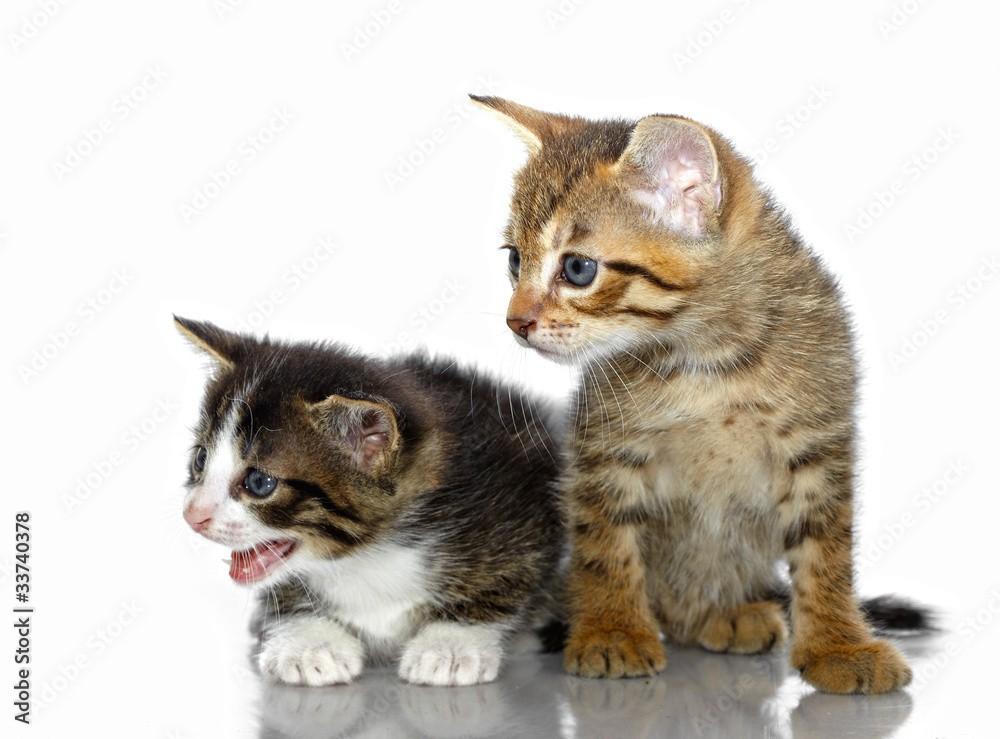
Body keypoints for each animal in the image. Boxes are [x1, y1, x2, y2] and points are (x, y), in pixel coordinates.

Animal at [174, 318, 564, 688]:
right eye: (200, 459)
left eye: (259, 483)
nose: (192, 515)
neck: (366, 558)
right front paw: (308, 642)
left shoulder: (524, 506)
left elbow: (505, 582)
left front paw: (451, 644)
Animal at [472, 97, 924, 692]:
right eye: (514, 260)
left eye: (577, 268)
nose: (515, 322)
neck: (708, 361)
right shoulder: (605, 447)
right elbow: (603, 544)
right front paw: (612, 630)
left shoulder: (818, 440)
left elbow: (825, 552)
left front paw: (839, 644)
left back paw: (725, 613)